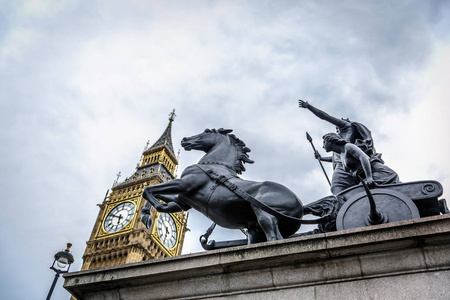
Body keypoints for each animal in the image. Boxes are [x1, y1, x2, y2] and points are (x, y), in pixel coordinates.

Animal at [142, 127, 304, 243]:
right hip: (256, 229)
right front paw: (149, 213)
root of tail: (300, 206)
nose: (185, 139)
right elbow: (156, 194)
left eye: (207, 131)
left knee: (274, 238)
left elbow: (147, 189)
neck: (213, 165)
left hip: (264, 213)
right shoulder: (183, 201)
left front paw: (151, 213)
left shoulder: (184, 184)